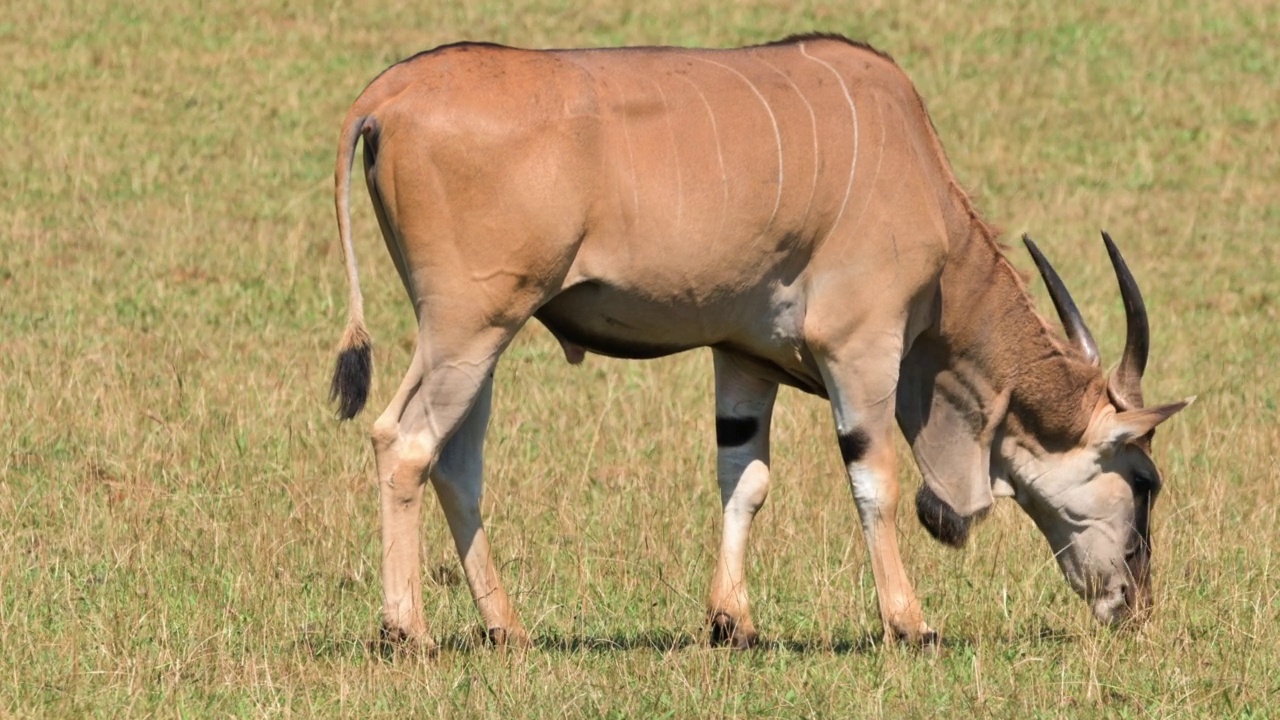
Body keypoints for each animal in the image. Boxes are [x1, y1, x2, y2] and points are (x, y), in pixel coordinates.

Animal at [327, 33, 1187, 648]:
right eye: (1144, 480)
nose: (1136, 604)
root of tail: (389, 93)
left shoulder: (743, 357)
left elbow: (743, 478)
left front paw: (731, 621)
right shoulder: (860, 350)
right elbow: (873, 479)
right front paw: (909, 622)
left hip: (480, 340)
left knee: (456, 463)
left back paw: (506, 627)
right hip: (468, 328)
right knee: (404, 442)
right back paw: (407, 632)